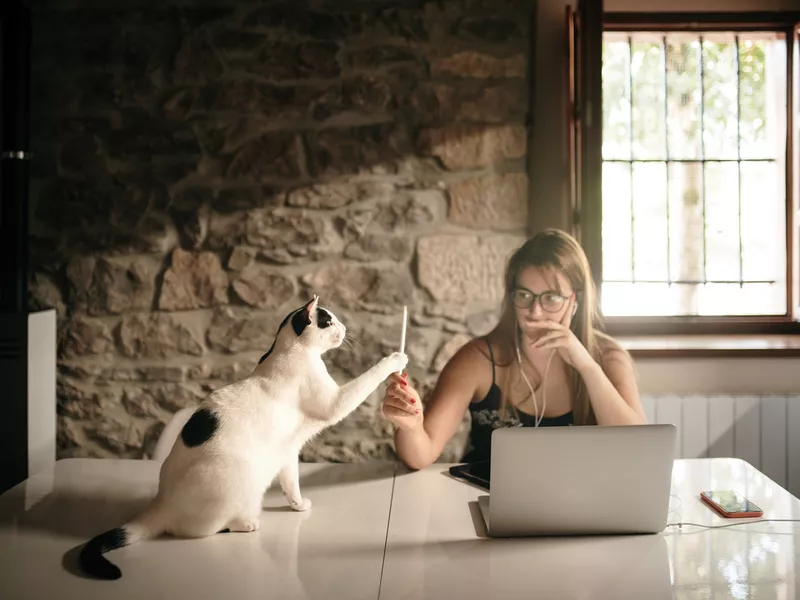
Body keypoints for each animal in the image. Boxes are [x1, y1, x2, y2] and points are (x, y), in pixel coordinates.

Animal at [79, 298, 410, 580]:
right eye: (329, 321)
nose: (344, 327)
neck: (289, 352)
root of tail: (163, 503)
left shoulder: (288, 452)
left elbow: (292, 484)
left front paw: (298, 505)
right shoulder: (334, 403)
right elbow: (367, 380)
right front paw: (394, 360)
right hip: (236, 478)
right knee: (196, 530)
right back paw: (245, 523)